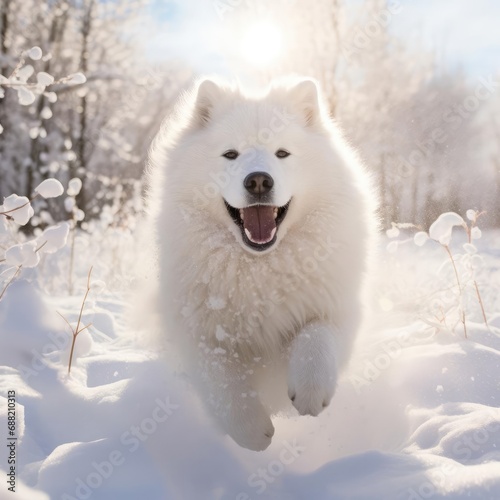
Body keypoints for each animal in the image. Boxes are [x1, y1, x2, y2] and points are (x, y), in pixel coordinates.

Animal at [147, 76, 376, 452]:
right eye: (231, 154)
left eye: (282, 153)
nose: (258, 180)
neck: (260, 267)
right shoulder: (196, 330)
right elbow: (220, 377)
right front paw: (251, 429)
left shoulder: (337, 306)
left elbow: (317, 335)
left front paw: (310, 391)